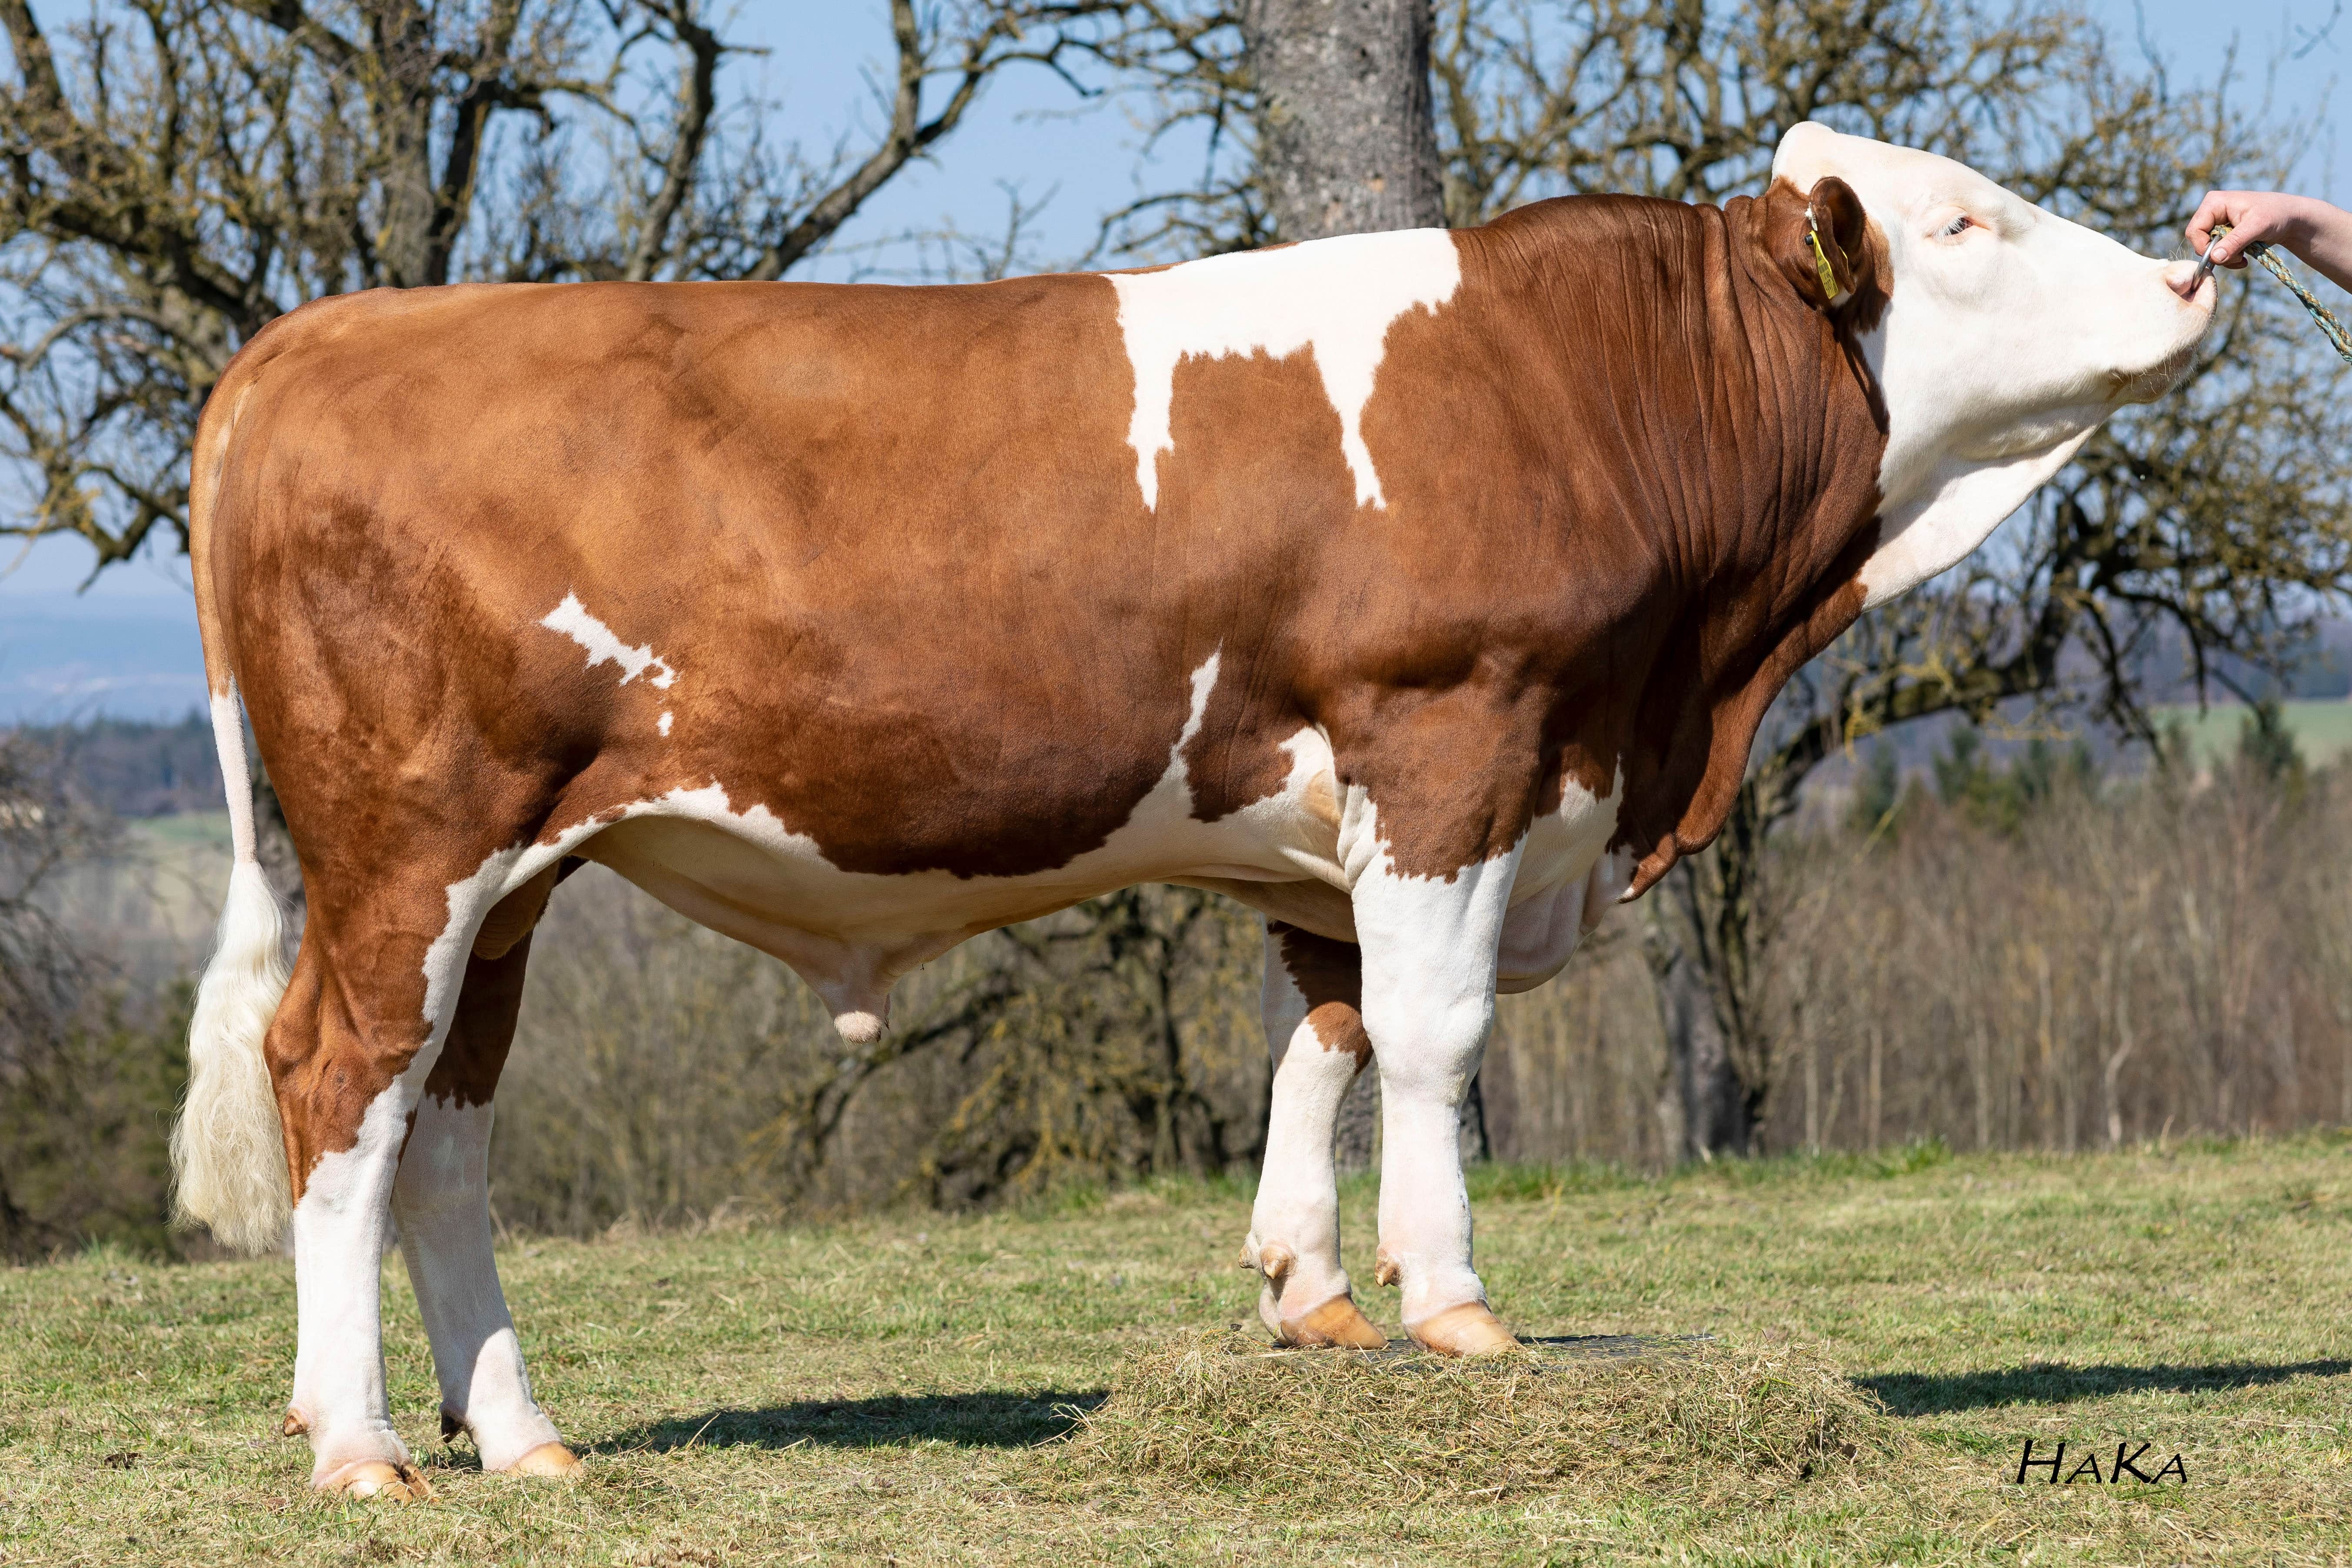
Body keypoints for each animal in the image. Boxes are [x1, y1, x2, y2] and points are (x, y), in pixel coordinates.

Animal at [179, 126, 2201, 1495]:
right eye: (1964, 221)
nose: (2195, 269)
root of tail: (319, 336)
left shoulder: (1357, 799)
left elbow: (1327, 1021)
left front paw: (1306, 1292)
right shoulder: (1451, 736)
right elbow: (1430, 1035)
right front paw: (1452, 1304)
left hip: (513, 876)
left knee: (445, 1130)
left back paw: (519, 1430)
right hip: (411, 844)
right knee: (338, 1084)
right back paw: (361, 1442)